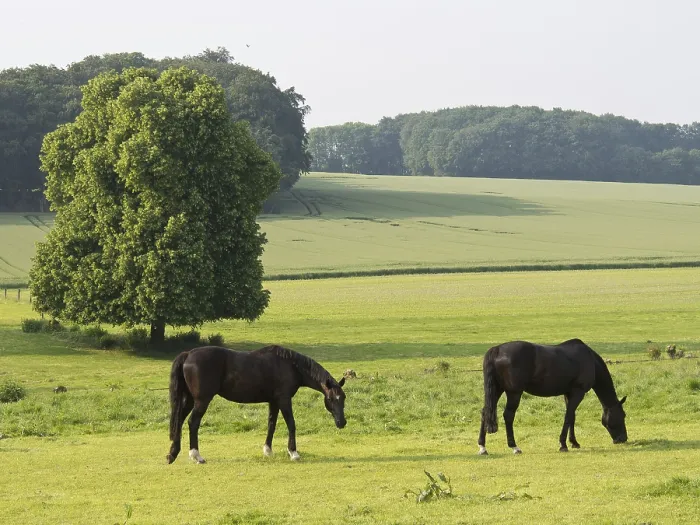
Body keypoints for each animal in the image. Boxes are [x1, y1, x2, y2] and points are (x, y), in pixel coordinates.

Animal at [166, 345, 347, 464]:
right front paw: (293, 452)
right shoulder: (284, 399)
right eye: (332, 399)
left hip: (190, 399)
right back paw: (196, 455)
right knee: (193, 423)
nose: (342, 422)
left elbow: (271, 424)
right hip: (202, 400)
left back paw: (172, 454)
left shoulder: (274, 401)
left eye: (343, 398)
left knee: (179, 421)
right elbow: (291, 424)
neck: (290, 365)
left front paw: (268, 450)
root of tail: (188, 354)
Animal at [478, 338, 628, 455]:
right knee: (508, 415)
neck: (589, 359)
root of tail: (496, 350)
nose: (623, 439)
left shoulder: (568, 393)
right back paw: (514, 447)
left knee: (485, 412)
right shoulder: (578, 392)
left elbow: (572, 417)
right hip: (514, 393)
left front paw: (574, 442)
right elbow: (568, 416)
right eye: (623, 415)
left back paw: (482, 447)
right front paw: (563, 444)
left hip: (497, 390)